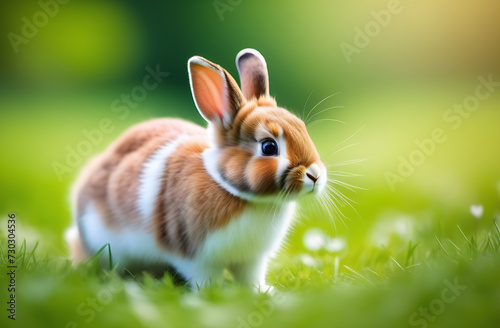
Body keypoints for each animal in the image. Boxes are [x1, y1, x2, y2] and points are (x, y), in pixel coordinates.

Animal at [64, 48, 326, 290]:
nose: (315, 175)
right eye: (269, 147)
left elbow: (250, 279)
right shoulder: (195, 257)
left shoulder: (251, 261)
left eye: (302, 128)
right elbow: (205, 278)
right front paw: (213, 293)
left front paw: (263, 292)